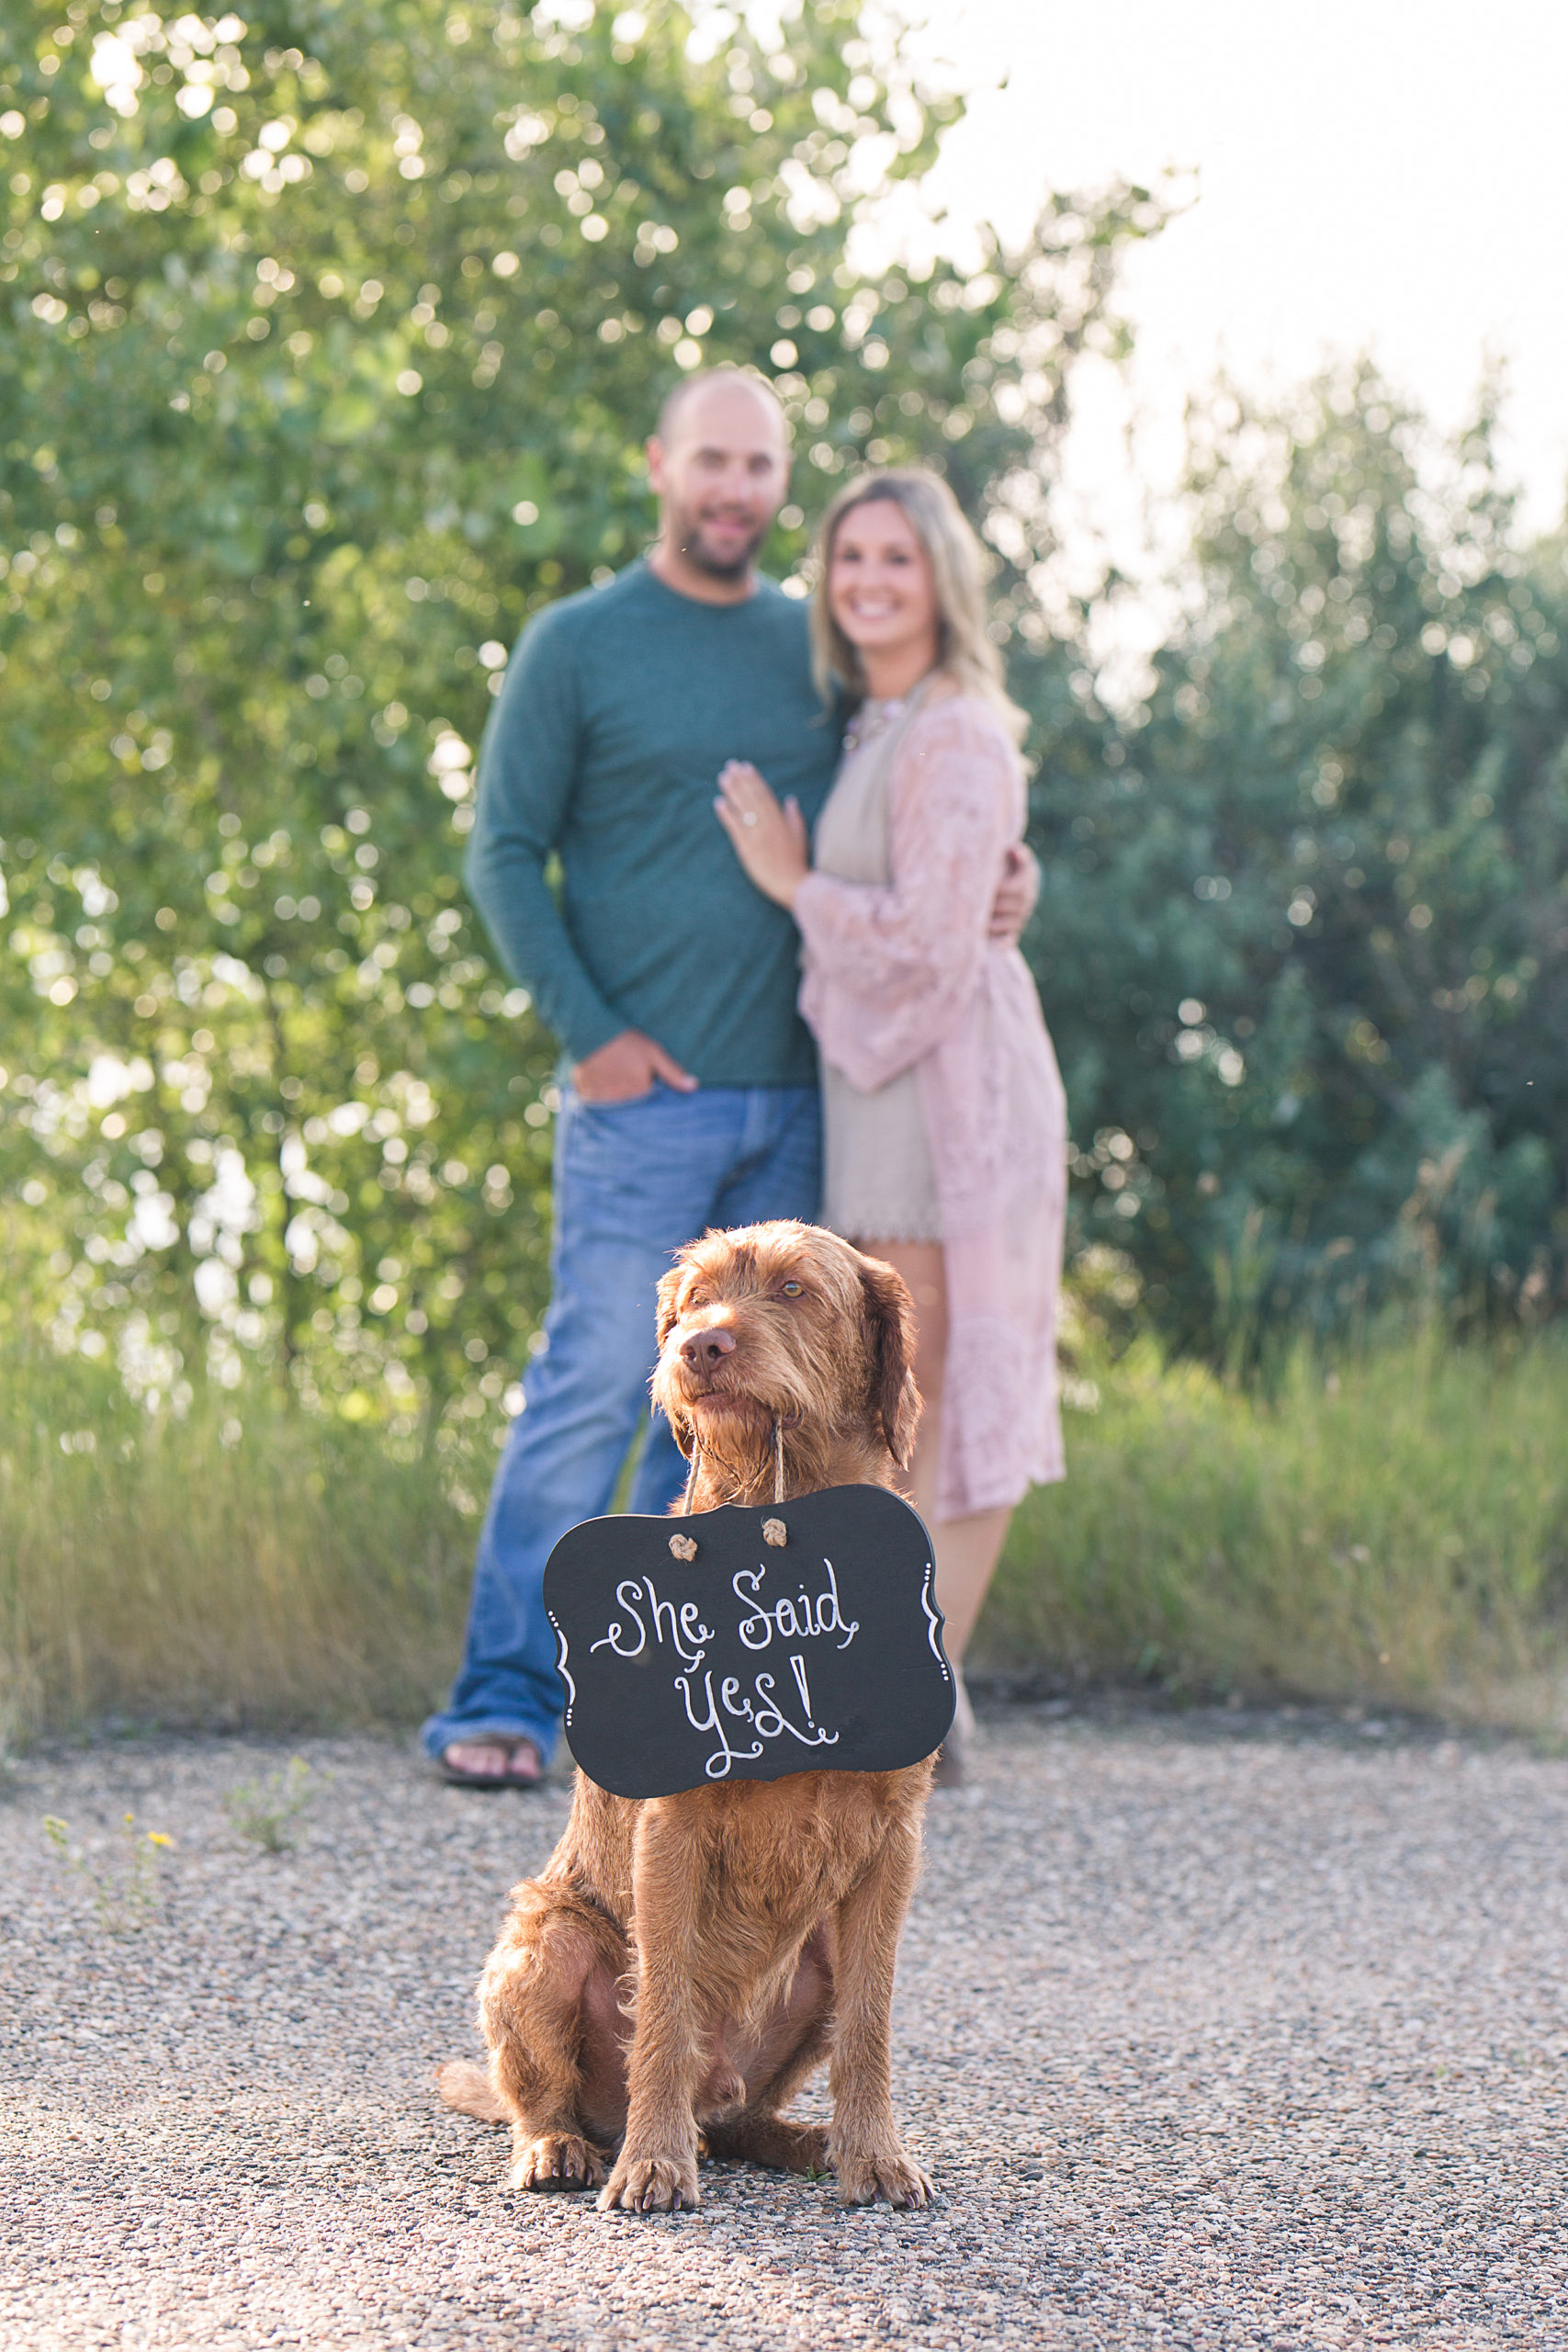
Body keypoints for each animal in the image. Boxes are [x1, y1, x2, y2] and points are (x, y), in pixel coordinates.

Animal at [434, 1223, 940, 2211]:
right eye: (695, 1297)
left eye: (793, 1289)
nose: (699, 1346)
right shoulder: (669, 1833)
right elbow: (663, 2013)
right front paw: (654, 2162)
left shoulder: (891, 1846)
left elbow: (871, 2025)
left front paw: (874, 2153)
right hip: (545, 1941)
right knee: (544, 2095)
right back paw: (565, 2145)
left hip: (812, 1965)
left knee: (745, 2119)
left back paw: (804, 2139)